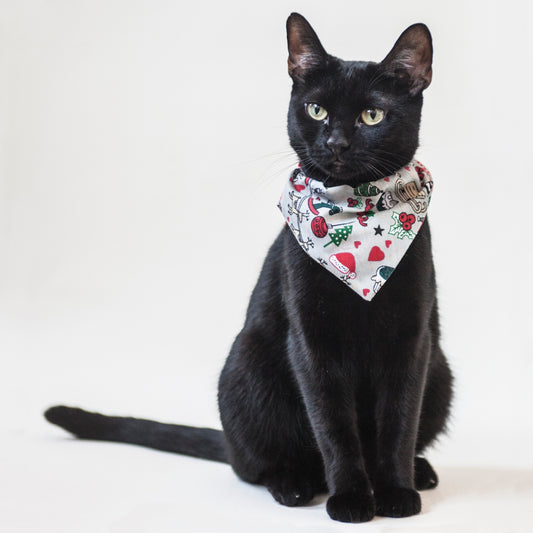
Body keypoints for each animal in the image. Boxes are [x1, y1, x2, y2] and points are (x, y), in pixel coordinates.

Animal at [46, 13, 454, 524]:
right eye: (316, 110)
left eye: (372, 117)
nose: (336, 142)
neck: (356, 218)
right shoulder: (311, 342)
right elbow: (334, 427)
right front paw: (352, 499)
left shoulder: (412, 340)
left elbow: (398, 423)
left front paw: (396, 491)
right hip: (249, 366)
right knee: (256, 465)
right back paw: (295, 485)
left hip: (440, 371)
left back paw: (421, 471)